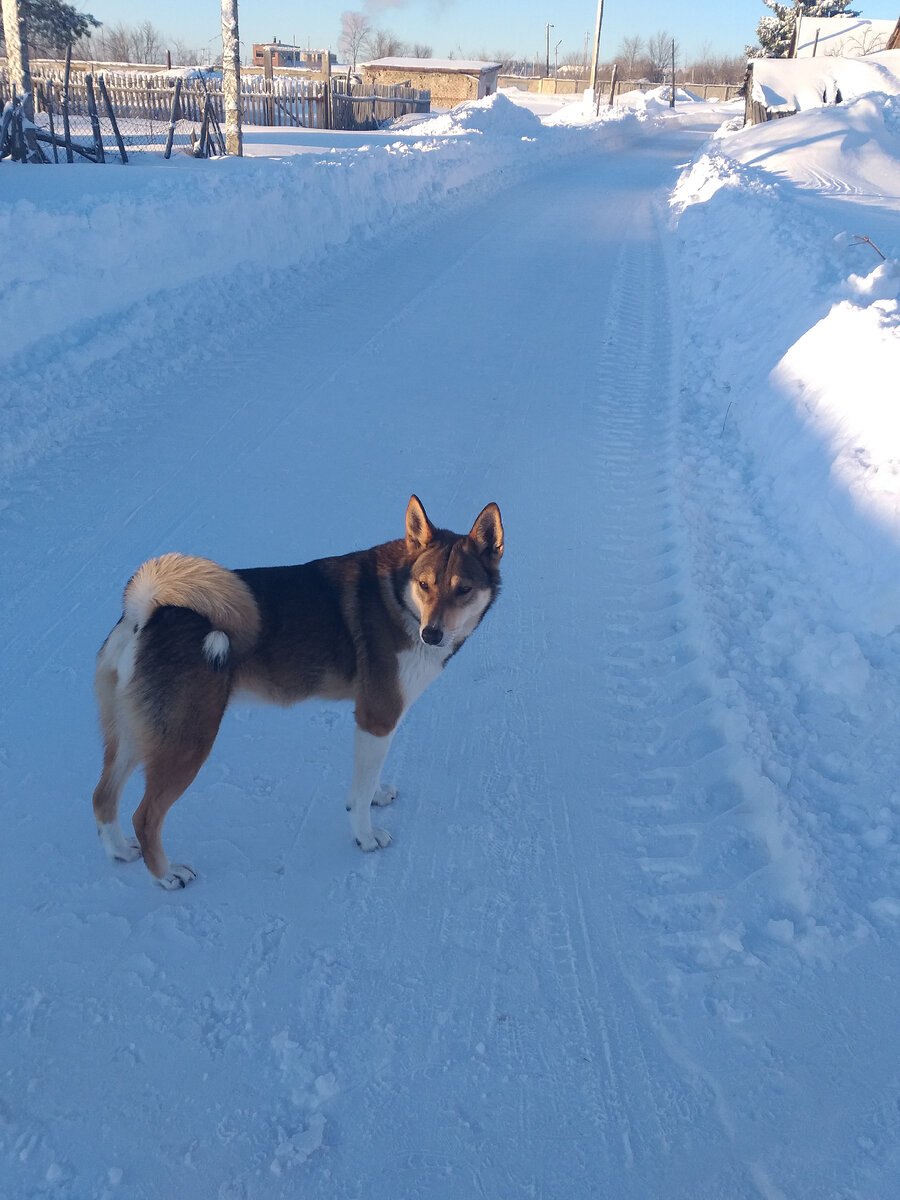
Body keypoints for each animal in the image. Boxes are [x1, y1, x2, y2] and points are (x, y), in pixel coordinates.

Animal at [94, 492, 504, 888]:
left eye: (464, 590)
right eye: (425, 585)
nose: (431, 634)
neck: (399, 597)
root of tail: (145, 613)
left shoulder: (373, 722)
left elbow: (368, 780)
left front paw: (376, 795)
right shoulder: (377, 718)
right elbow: (358, 794)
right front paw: (365, 837)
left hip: (134, 734)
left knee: (103, 797)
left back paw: (121, 852)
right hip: (186, 742)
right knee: (145, 817)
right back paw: (166, 875)